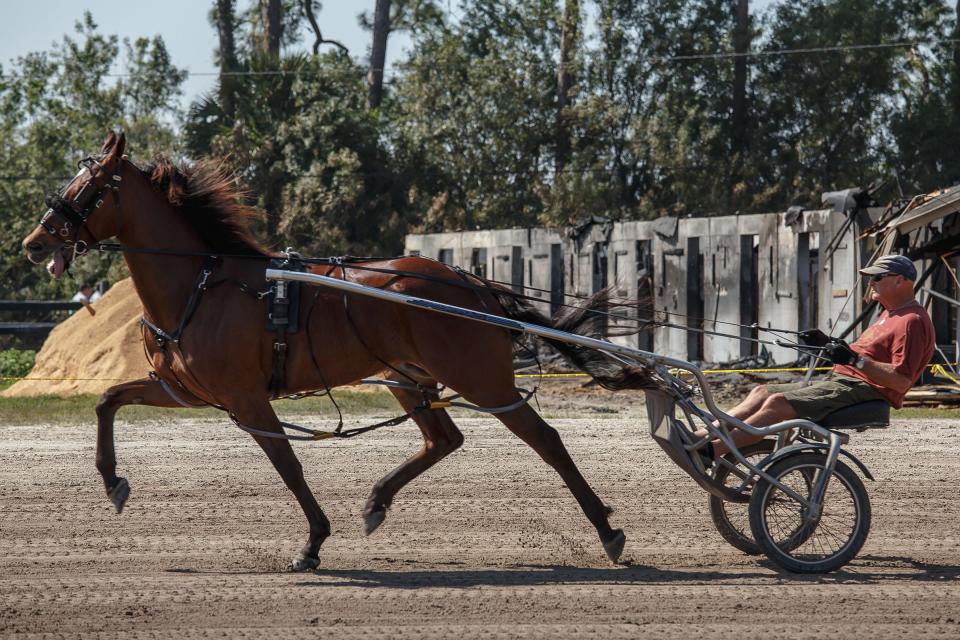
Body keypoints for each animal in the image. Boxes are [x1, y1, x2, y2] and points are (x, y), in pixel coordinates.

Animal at [22, 130, 652, 568]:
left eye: (89, 188)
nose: (33, 242)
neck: (202, 286)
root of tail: (469, 282)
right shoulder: (185, 390)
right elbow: (107, 400)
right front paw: (112, 482)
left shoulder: (246, 398)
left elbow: (288, 465)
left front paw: (312, 542)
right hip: (407, 376)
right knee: (444, 439)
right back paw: (377, 502)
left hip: (479, 377)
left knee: (545, 440)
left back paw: (608, 531)